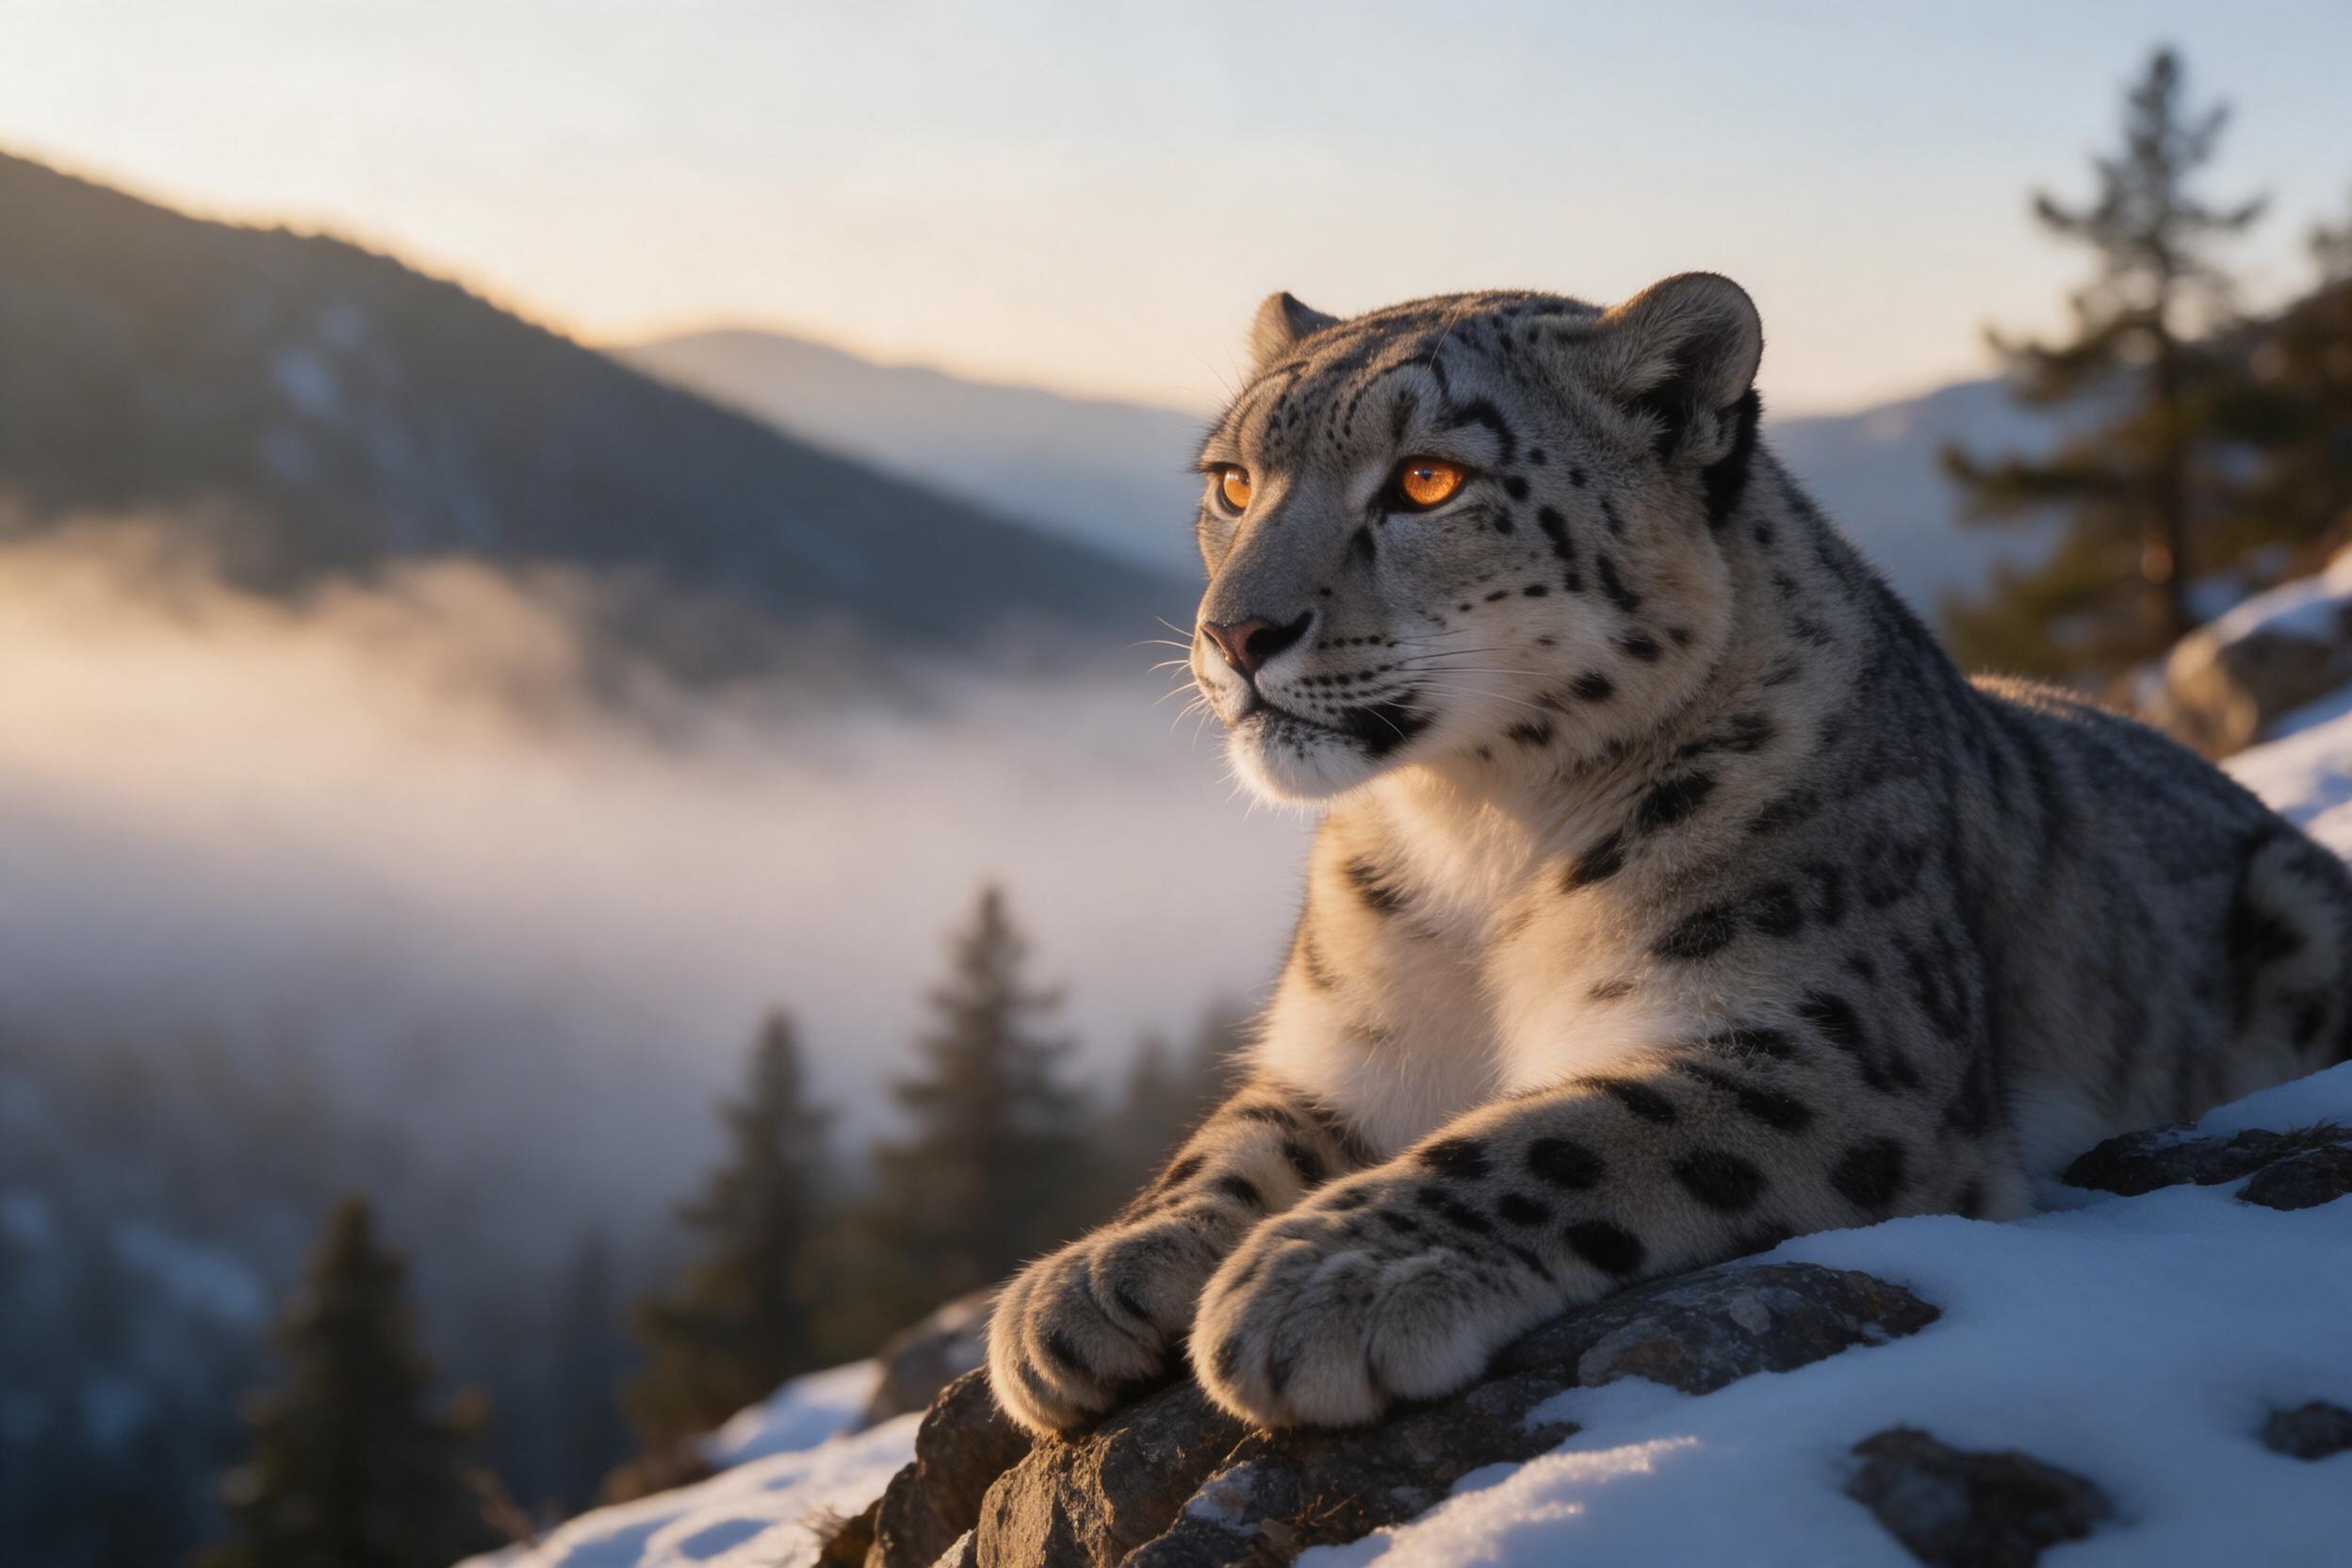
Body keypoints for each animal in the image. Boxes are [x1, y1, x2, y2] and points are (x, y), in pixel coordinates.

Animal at [985, 273, 2352, 1436]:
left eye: (1425, 481)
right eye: (1231, 481)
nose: (1234, 635)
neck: (1476, 842)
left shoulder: (1832, 1050)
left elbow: (1566, 1133)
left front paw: (1326, 1279)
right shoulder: (1347, 1052)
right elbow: (1232, 1139)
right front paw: (1085, 1281)